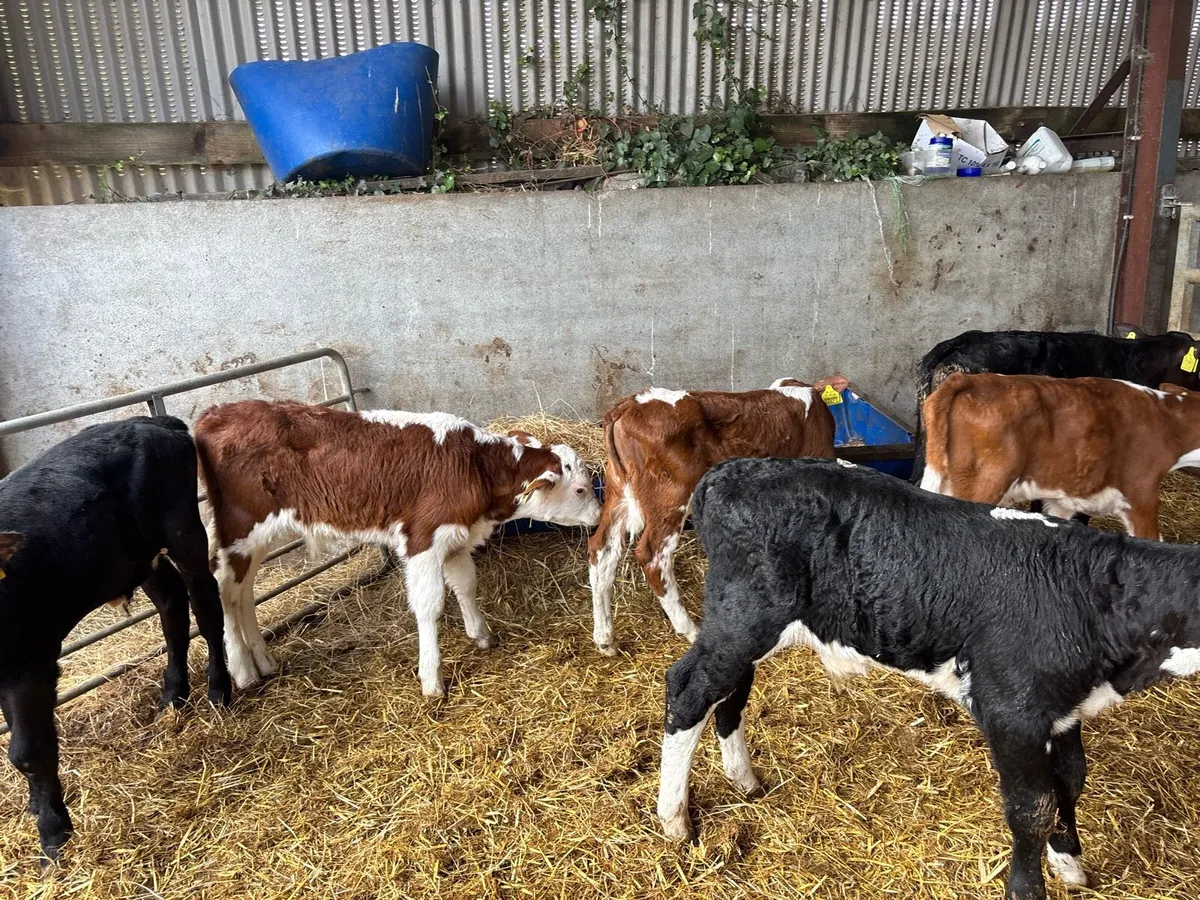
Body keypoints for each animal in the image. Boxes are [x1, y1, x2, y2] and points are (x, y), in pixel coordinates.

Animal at [0, 417, 232, 861]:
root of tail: (149, 421)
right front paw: (39, 804)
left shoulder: (30, 661)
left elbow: (28, 749)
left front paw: (53, 832)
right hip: (141, 559)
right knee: (173, 607)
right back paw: (173, 695)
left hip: (183, 531)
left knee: (206, 605)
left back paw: (218, 689)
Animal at [194, 400, 601, 699]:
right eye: (581, 489)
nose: (600, 516)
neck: (475, 466)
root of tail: (218, 411)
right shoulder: (424, 540)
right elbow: (430, 605)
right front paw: (432, 680)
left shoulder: (456, 539)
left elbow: (466, 585)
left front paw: (481, 635)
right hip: (239, 527)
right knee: (224, 590)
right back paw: (243, 670)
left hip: (255, 537)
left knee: (243, 592)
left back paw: (263, 660)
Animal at [587, 379, 836, 656]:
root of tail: (630, 404)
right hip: (671, 496)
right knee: (654, 557)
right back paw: (690, 630)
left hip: (618, 491)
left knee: (602, 551)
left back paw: (605, 639)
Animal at [657, 456, 1200, 900]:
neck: (1098, 593)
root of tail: (728, 472)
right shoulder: (1011, 710)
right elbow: (1033, 807)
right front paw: (1029, 887)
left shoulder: (1064, 710)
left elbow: (1070, 778)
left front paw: (1069, 862)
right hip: (745, 618)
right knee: (688, 690)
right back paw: (675, 819)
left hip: (747, 625)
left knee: (731, 691)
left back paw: (744, 779)